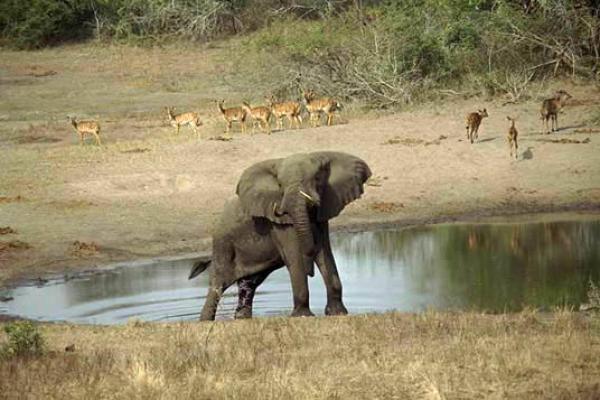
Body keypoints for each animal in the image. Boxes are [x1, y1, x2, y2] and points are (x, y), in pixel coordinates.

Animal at [190, 152, 372, 320]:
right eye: (279, 185)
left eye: (318, 179)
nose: (310, 272)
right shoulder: (276, 223)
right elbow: (294, 256)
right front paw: (302, 316)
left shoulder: (324, 209)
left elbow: (324, 252)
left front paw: (338, 313)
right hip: (223, 243)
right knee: (219, 283)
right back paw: (205, 321)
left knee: (248, 284)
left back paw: (242, 318)